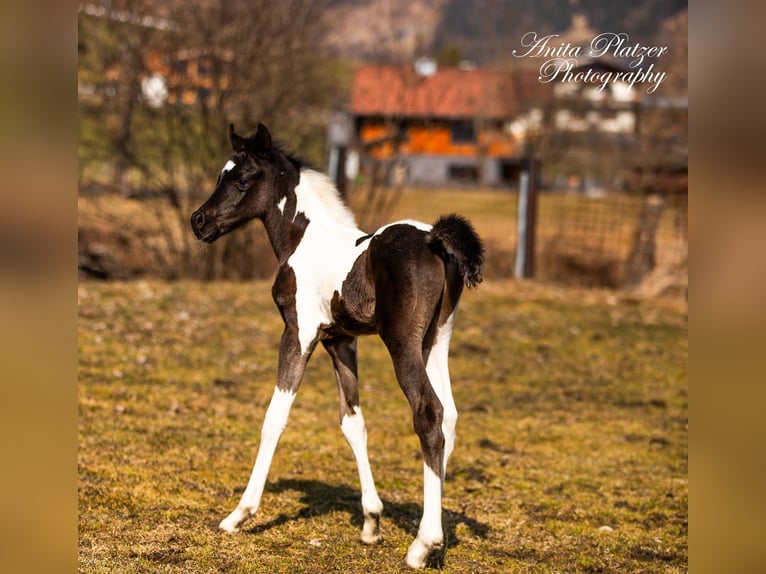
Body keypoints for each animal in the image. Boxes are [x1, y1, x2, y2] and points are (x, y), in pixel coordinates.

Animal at [190, 123, 484, 569]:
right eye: (223, 175)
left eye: (242, 180)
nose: (199, 220)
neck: (305, 238)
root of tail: (436, 238)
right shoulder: (340, 341)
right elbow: (352, 421)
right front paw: (371, 522)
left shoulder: (299, 332)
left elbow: (274, 418)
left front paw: (239, 514)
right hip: (436, 340)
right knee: (448, 415)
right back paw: (436, 533)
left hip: (403, 344)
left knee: (428, 413)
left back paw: (423, 544)